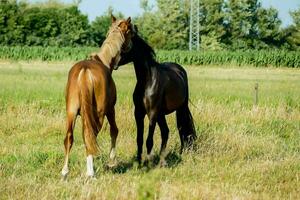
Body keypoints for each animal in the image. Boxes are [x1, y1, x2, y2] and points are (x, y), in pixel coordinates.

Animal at [61, 15, 134, 178]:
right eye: (131, 33)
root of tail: (85, 70)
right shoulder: (111, 110)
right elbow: (114, 130)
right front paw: (111, 161)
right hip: (99, 113)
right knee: (91, 135)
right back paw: (91, 172)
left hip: (71, 112)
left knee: (70, 137)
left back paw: (65, 171)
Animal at [117, 27, 197, 166]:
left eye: (125, 44)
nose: (114, 62)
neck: (147, 81)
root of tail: (180, 70)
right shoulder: (138, 113)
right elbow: (139, 139)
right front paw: (138, 162)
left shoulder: (152, 113)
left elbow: (149, 140)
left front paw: (148, 163)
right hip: (161, 114)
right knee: (166, 132)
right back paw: (162, 159)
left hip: (179, 108)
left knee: (181, 128)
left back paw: (180, 153)